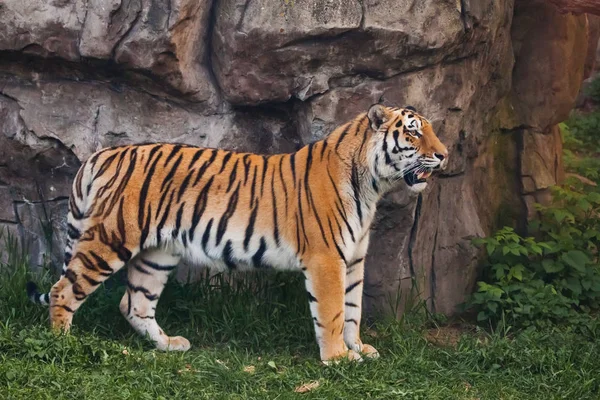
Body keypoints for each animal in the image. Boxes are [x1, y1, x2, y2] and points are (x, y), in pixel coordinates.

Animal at [27, 103, 450, 362]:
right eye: (413, 133)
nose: (444, 154)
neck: (372, 185)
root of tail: (104, 153)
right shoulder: (327, 258)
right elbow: (331, 311)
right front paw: (337, 358)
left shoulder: (355, 258)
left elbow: (353, 309)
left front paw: (358, 348)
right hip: (110, 239)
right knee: (63, 290)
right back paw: (62, 345)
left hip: (158, 254)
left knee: (134, 304)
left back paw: (169, 345)